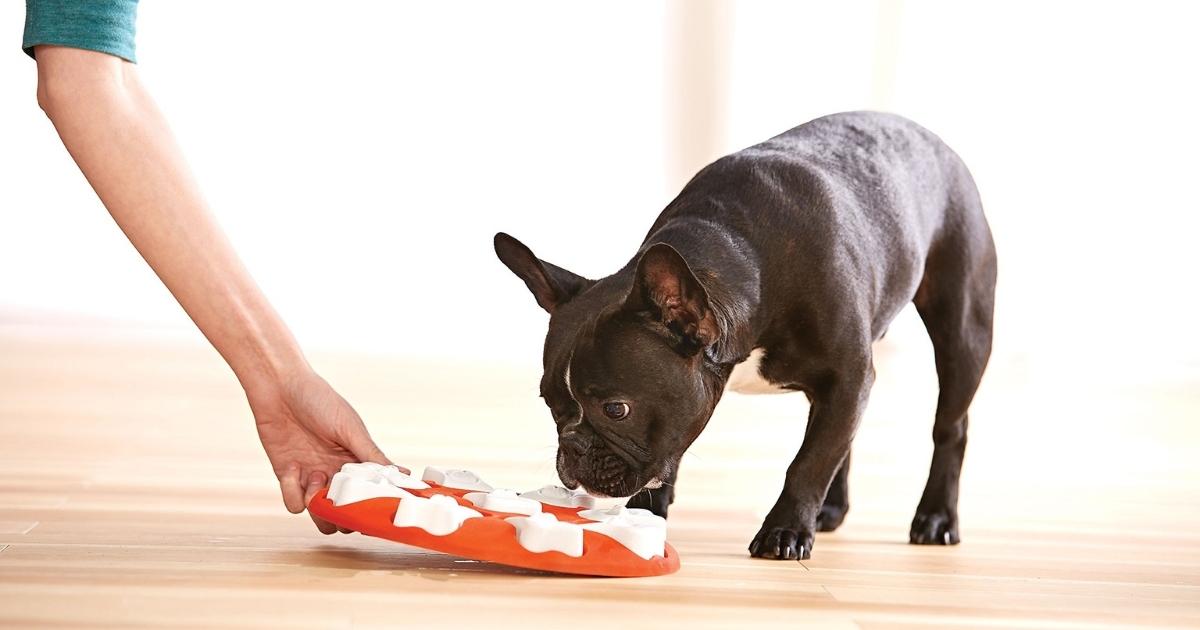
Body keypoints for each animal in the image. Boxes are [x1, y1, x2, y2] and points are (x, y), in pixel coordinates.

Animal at [494, 111, 996, 560]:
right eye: (550, 404)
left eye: (617, 409)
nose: (572, 447)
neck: (741, 256)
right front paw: (647, 518)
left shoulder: (848, 376)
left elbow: (810, 460)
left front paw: (784, 532)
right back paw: (830, 509)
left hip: (963, 329)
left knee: (949, 428)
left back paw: (936, 517)